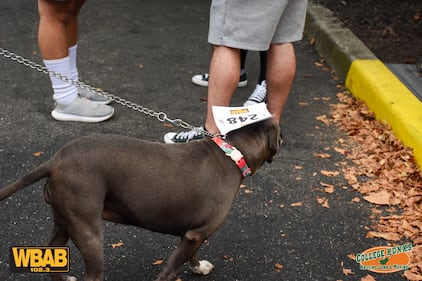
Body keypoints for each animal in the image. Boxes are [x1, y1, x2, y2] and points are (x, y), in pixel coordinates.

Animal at [0, 117, 284, 278]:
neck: (232, 152)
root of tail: (55, 159)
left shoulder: (192, 233)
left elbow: (191, 255)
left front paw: (198, 268)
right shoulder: (196, 234)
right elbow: (170, 270)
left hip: (64, 219)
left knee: (52, 249)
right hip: (88, 229)